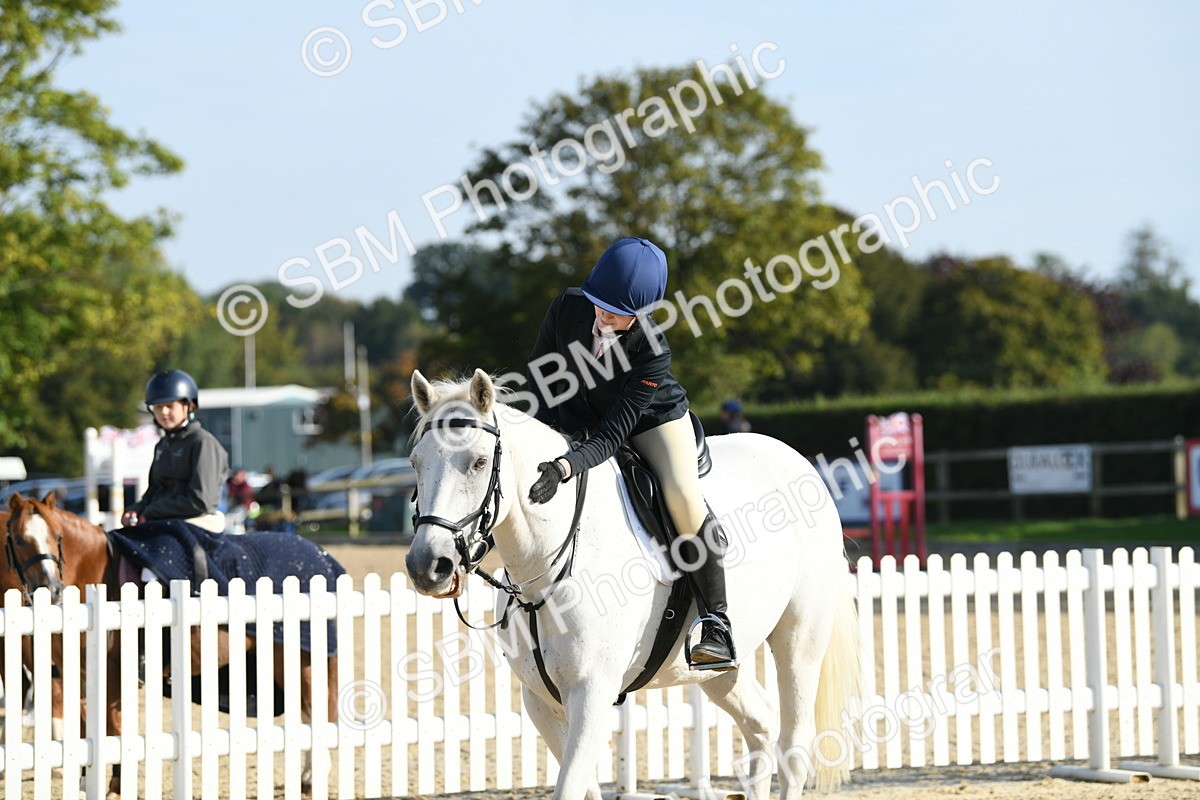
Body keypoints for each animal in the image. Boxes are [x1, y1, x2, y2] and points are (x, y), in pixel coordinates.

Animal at [4, 491, 341, 799]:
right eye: (19, 540)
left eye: (57, 536)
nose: (51, 589)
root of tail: (321, 555)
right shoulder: (79, 674)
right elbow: (90, 726)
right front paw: (90, 784)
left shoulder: (112, 674)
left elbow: (113, 727)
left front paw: (115, 786)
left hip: (300, 657)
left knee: (317, 709)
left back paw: (314, 777)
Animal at [404, 370, 863, 800]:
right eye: (414, 462)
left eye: (480, 462)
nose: (428, 566)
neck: (550, 566)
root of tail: (801, 463)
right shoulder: (539, 701)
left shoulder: (592, 694)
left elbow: (569, 787)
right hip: (719, 670)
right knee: (760, 726)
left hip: (799, 643)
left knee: (794, 746)